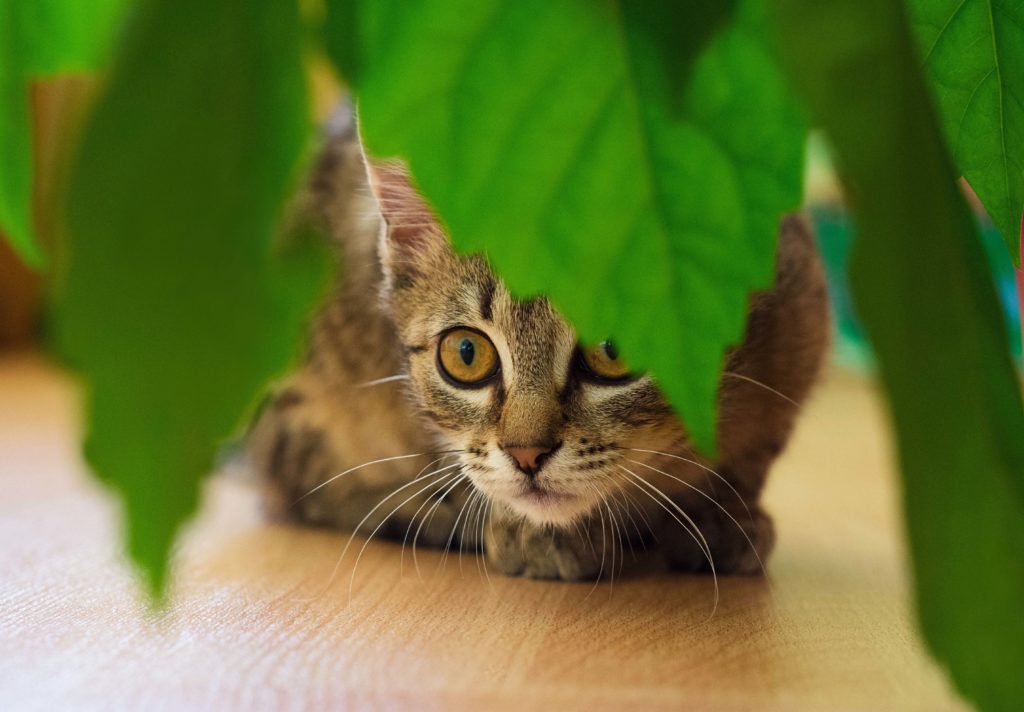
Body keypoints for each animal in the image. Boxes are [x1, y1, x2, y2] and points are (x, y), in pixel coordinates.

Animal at [247, 111, 831, 577]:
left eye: (613, 349)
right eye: (466, 354)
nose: (526, 455)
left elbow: (751, 461)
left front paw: (724, 516)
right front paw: (529, 533)